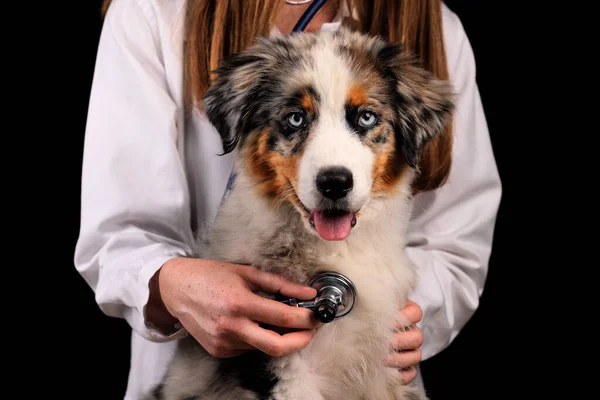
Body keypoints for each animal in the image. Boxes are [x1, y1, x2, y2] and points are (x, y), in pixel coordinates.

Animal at [150, 26, 454, 398]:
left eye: (366, 117)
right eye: (296, 117)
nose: (335, 182)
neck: (340, 248)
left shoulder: (389, 360)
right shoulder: (282, 362)